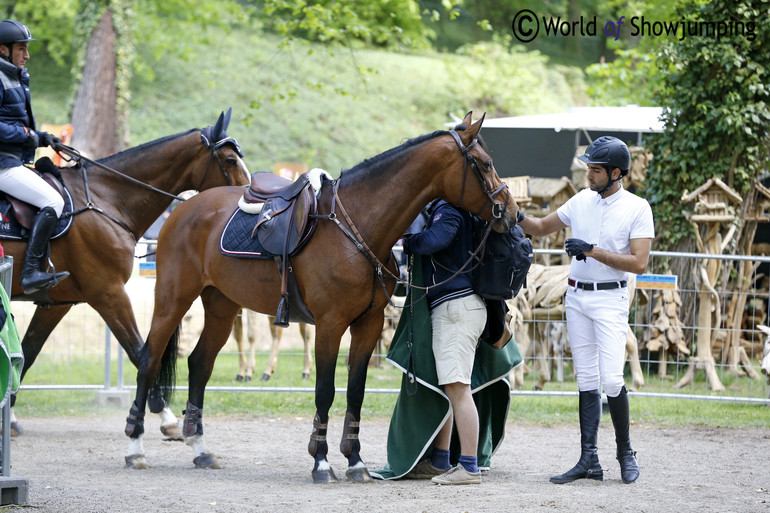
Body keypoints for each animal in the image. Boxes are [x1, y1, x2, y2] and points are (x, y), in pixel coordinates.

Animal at [8, 108, 249, 436]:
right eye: (230, 160)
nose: (250, 196)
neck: (106, 199)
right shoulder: (108, 292)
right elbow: (139, 352)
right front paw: (165, 417)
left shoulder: (57, 303)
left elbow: (28, 353)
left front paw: (9, 417)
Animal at [123, 112, 520, 480]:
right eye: (485, 164)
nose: (513, 211)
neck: (357, 229)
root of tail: (184, 208)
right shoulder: (330, 325)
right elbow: (325, 390)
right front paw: (321, 461)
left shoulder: (368, 325)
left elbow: (356, 391)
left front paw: (355, 460)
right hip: (173, 300)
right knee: (148, 361)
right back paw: (135, 447)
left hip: (221, 306)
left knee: (200, 364)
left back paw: (200, 448)